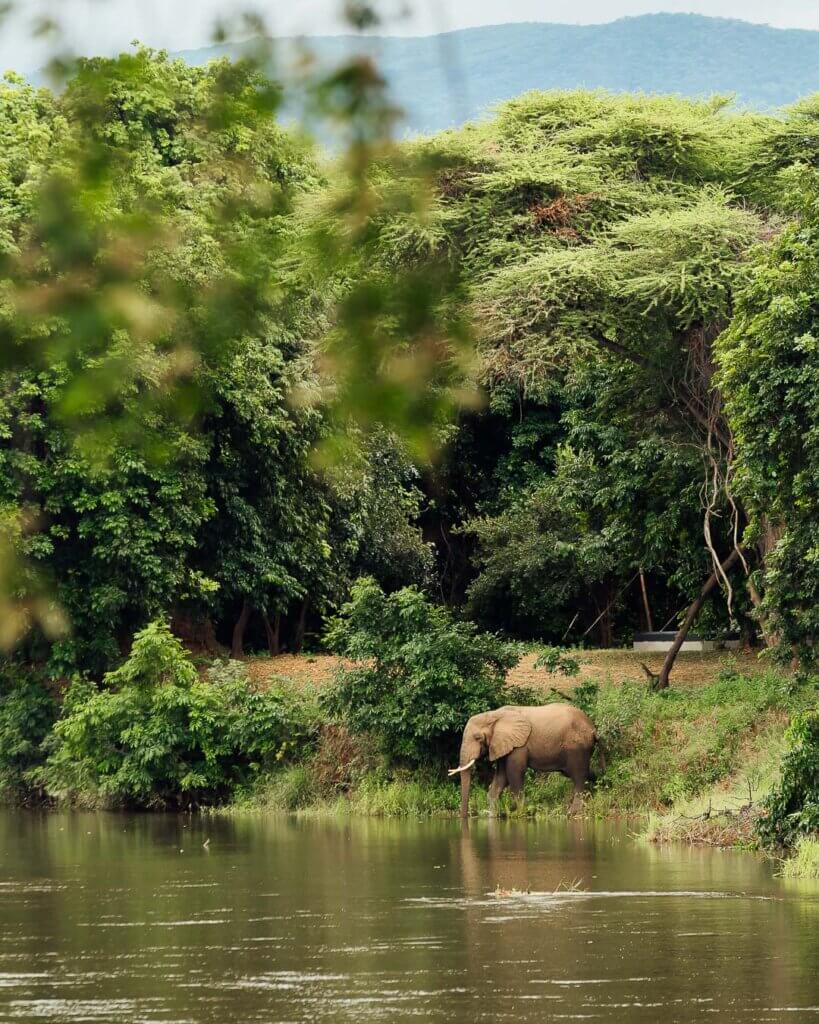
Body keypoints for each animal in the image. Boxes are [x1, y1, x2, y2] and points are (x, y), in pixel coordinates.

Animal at [449, 703, 604, 817]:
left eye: (477, 738)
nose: (464, 817)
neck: (494, 715)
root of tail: (593, 728)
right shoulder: (504, 744)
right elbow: (501, 778)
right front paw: (493, 816)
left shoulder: (519, 746)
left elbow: (514, 774)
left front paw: (521, 814)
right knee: (584, 772)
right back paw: (601, 784)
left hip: (577, 747)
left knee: (578, 776)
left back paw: (572, 813)